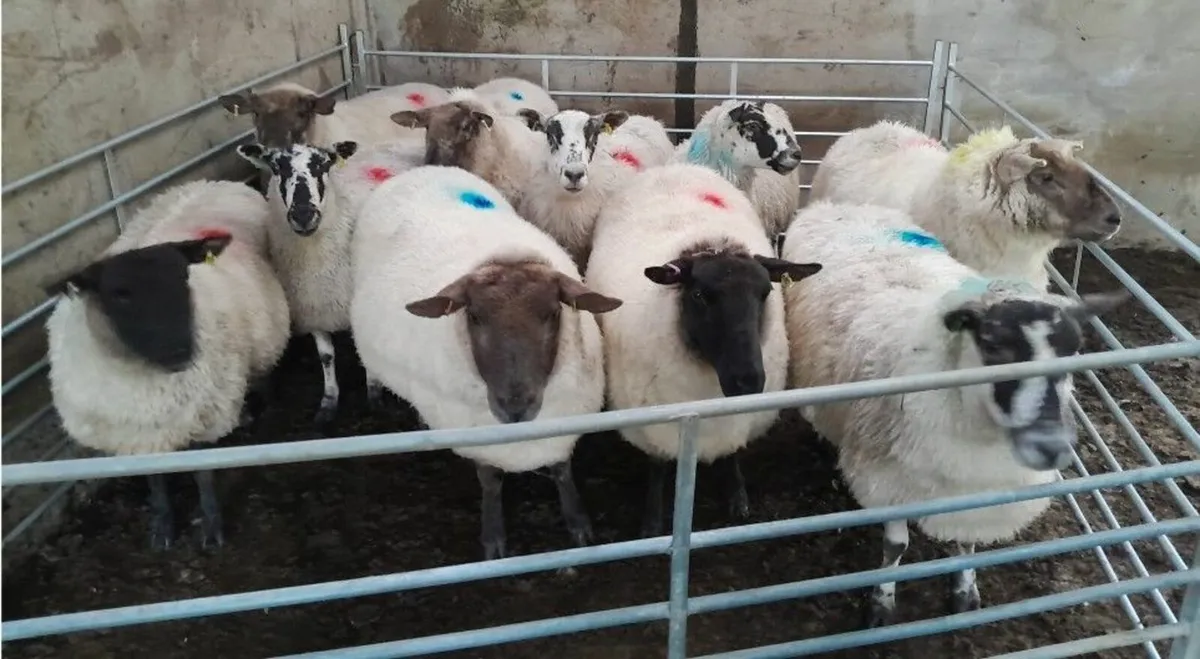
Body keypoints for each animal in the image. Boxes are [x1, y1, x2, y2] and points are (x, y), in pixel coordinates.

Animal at [45, 180, 291, 550]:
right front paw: (161, 526)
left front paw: (211, 528)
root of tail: (216, 183)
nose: (180, 351)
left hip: (266, 328)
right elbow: (155, 479)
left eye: (183, 277)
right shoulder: (139, 436)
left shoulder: (206, 416)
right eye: (120, 294)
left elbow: (203, 473)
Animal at [235, 138, 425, 425]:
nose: (303, 215)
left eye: (324, 165)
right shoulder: (314, 307)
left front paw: (374, 396)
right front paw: (329, 401)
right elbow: (326, 356)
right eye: (277, 167)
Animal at [350, 164, 623, 560]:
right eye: (474, 316)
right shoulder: (478, 438)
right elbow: (491, 481)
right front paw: (493, 537)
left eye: (552, 313)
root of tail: (424, 169)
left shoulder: (563, 426)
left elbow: (561, 470)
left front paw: (578, 524)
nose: (515, 406)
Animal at [585, 163, 822, 537]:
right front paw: (651, 522)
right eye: (699, 295)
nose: (748, 381)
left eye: (766, 293)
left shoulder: (737, 422)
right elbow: (658, 467)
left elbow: (732, 453)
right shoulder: (653, 425)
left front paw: (738, 496)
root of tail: (676, 166)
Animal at [781, 199, 1128, 626]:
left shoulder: (975, 497)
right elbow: (896, 547)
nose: (1050, 447)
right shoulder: (889, 481)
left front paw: (965, 593)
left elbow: (966, 545)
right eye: (993, 345)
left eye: (1073, 349)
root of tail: (839, 205)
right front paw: (881, 603)